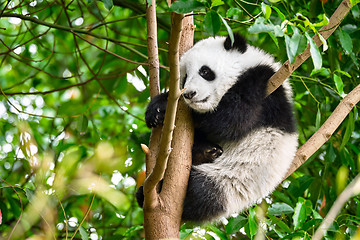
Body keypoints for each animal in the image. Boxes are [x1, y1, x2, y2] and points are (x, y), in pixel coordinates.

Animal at [138, 33, 298, 223]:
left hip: (229, 181)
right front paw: (157, 110)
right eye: (184, 78)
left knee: (201, 193)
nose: (189, 94)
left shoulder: (265, 86)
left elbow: (231, 119)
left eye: (205, 71)